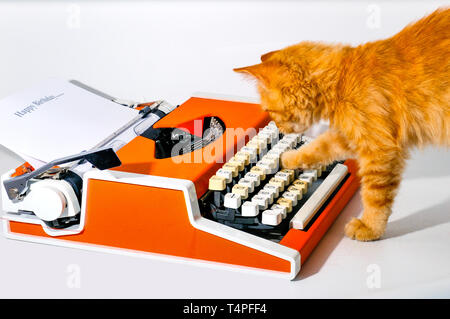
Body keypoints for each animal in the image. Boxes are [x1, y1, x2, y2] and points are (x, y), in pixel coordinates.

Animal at [234, 7, 448, 241]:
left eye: (269, 111)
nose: (279, 129)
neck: (341, 79)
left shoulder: (378, 149)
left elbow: (375, 197)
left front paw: (370, 228)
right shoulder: (349, 135)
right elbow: (318, 147)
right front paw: (287, 157)